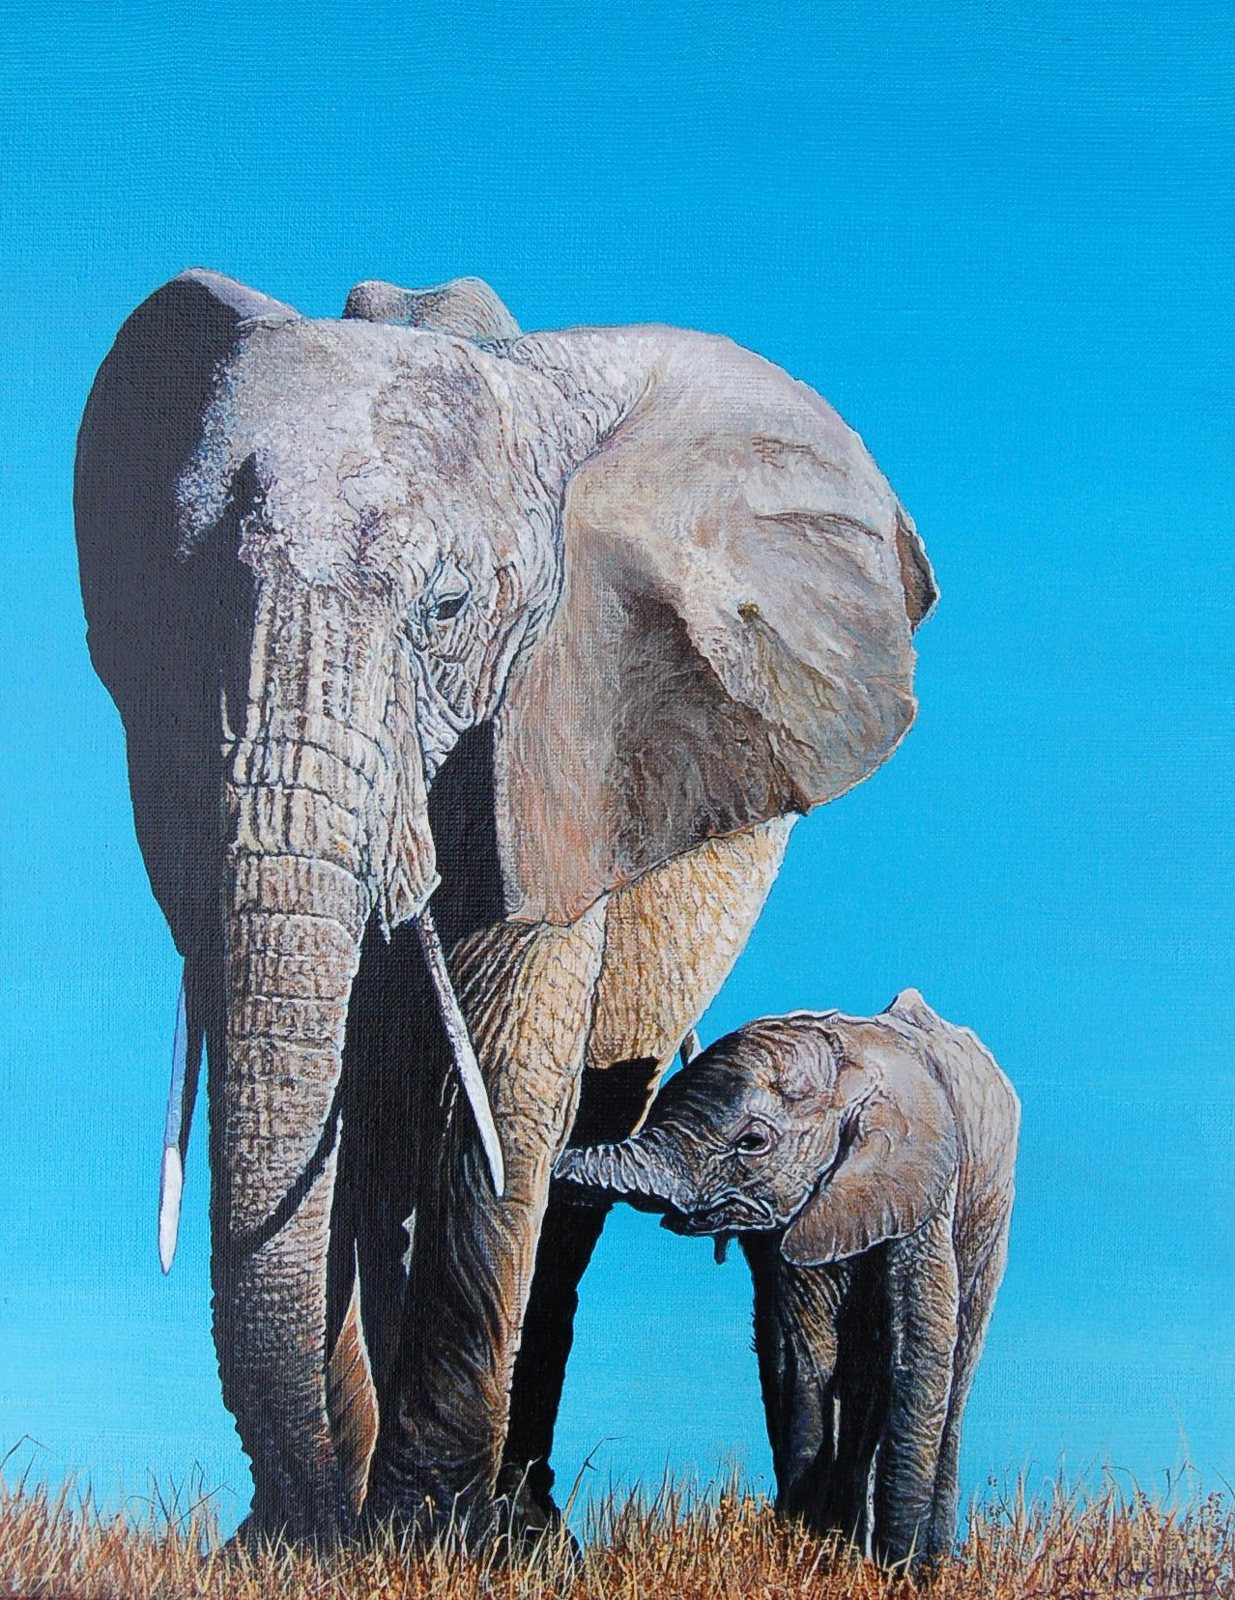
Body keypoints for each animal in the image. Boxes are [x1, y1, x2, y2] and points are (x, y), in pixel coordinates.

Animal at [74, 267, 938, 1546]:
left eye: (445, 609)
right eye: (177, 601)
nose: (305, 1523)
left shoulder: (564, 730)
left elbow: (498, 1063)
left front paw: (424, 1539)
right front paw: (307, 1549)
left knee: (580, 1147)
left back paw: (519, 1527)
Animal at [556, 990, 1018, 1568]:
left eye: (752, 1142)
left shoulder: (926, 1187)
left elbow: (921, 1339)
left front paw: (902, 1571)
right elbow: (798, 1353)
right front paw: (810, 1547)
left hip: (990, 1214)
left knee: (954, 1366)